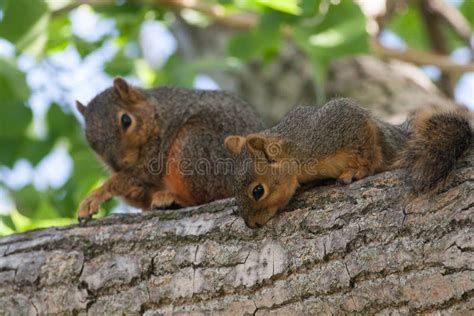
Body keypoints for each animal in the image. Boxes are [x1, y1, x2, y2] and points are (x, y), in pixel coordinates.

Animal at [76, 77, 264, 221]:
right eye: (91, 142)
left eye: (126, 120)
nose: (118, 165)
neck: (157, 115)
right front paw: (135, 191)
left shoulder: (156, 152)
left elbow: (137, 174)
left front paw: (94, 196)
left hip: (195, 145)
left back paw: (173, 199)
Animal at [224, 97, 472, 228]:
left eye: (258, 191)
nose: (251, 225)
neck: (296, 152)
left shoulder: (338, 127)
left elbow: (368, 150)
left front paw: (359, 170)